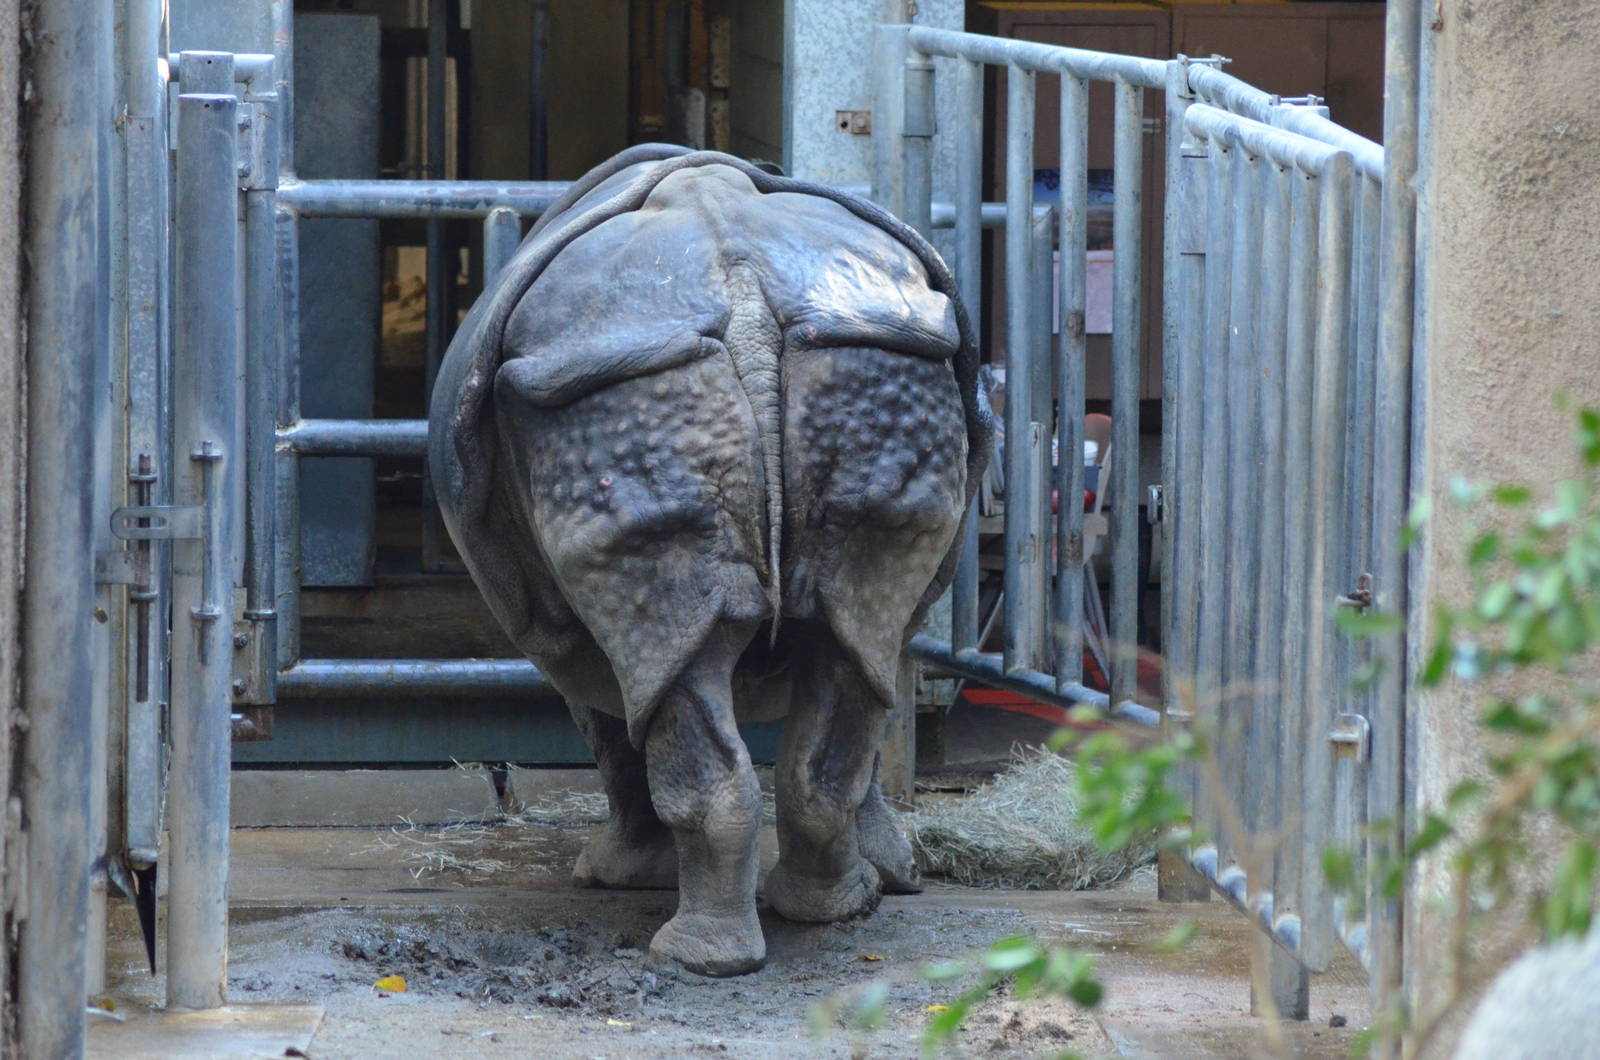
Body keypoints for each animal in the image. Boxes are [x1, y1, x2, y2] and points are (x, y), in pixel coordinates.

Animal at [429, 144, 991, 976]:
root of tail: (747, 291)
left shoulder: (571, 643)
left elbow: (611, 729)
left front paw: (615, 874)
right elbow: (870, 696)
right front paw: (896, 874)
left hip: (613, 382)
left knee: (675, 670)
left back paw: (690, 956)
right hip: (866, 360)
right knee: (839, 651)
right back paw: (829, 911)